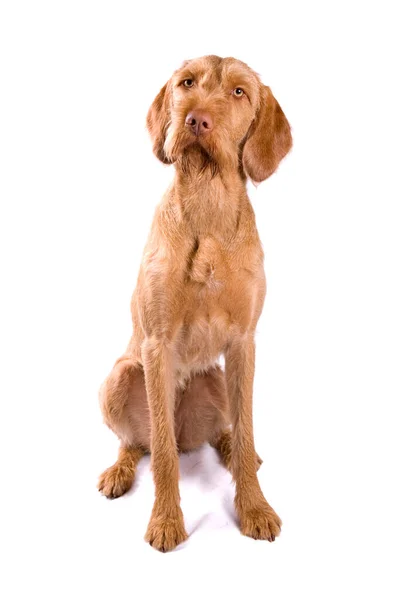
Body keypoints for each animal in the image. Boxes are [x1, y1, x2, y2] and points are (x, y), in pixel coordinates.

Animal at [98, 54, 292, 552]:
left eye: (240, 92)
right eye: (187, 83)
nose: (197, 119)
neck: (207, 198)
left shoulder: (244, 343)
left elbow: (245, 428)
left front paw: (255, 508)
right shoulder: (157, 346)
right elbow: (163, 454)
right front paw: (166, 520)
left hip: (216, 378)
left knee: (227, 431)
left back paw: (232, 451)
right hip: (120, 376)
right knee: (141, 441)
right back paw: (120, 469)